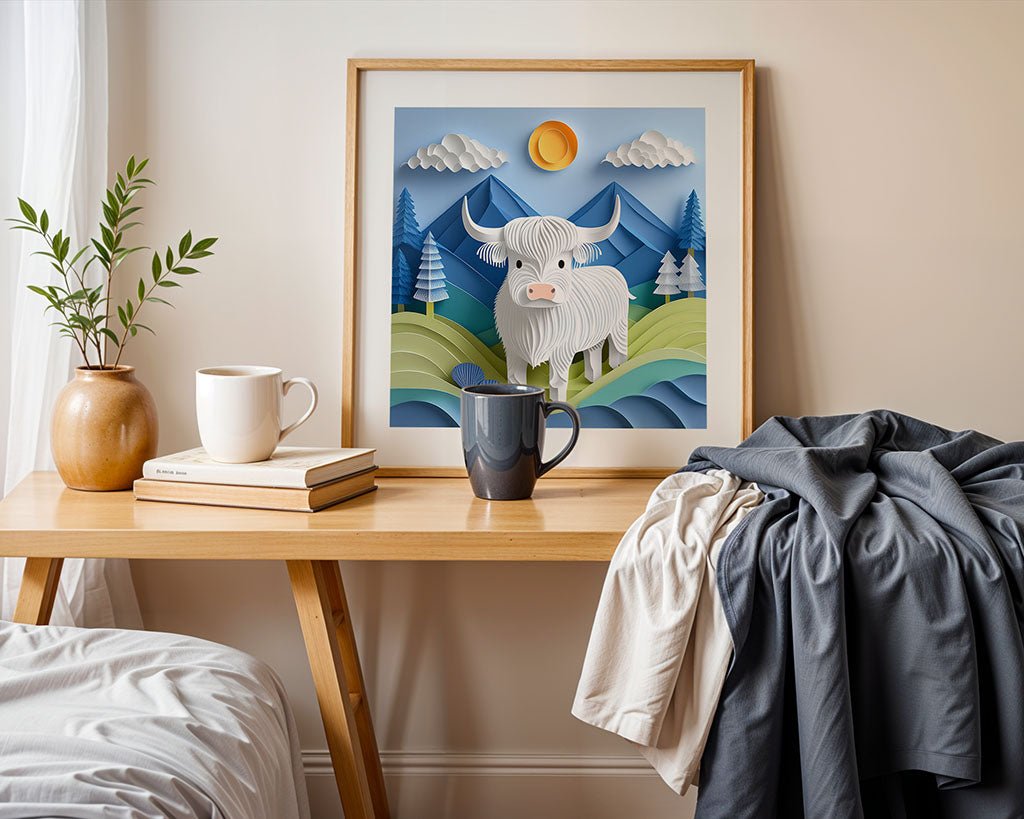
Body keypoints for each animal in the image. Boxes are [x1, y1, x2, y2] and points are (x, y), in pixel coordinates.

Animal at [464, 198, 630, 403]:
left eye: (562, 263)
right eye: (518, 263)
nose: (541, 290)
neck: (536, 321)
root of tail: (612, 270)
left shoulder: (563, 350)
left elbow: (557, 381)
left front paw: (558, 401)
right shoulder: (512, 348)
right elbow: (515, 378)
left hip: (619, 325)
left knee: (619, 349)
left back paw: (617, 368)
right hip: (595, 333)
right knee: (594, 351)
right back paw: (594, 378)